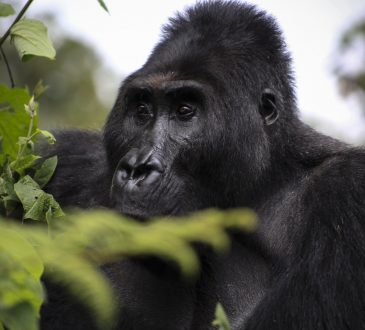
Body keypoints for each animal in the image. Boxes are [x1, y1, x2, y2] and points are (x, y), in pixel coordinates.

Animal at [39, 0, 364, 330]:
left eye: (185, 111)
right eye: (142, 110)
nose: (136, 169)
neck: (265, 180)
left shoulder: (347, 191)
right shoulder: (68, 159)